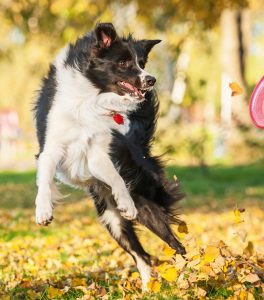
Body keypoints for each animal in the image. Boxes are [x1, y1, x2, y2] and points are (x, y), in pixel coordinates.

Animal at [33, 22, 186, 290]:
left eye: (142, 62)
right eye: (123, 62)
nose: (151, 79)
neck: (92, 97)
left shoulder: (97, 152)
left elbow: (116, 178)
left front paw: (126, 202)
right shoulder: (51, 148)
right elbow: (45, 181)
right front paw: (43, 211)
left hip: (144, 205)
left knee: (177, 246)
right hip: (113, 222)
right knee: (143, 255)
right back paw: (148, 290)